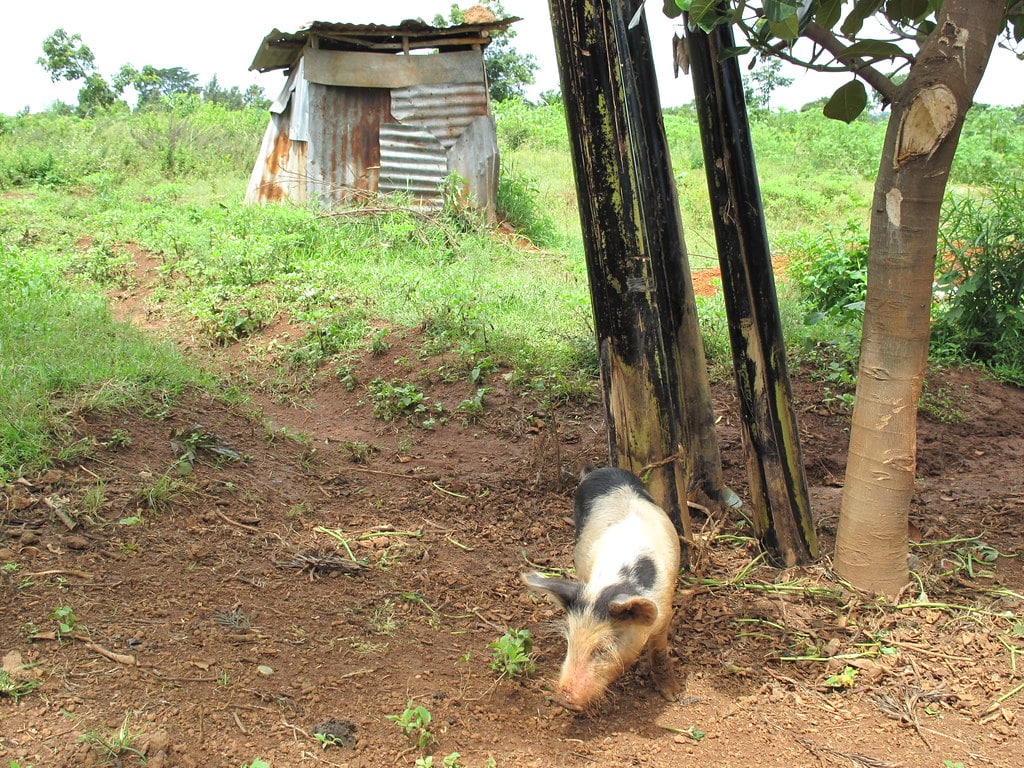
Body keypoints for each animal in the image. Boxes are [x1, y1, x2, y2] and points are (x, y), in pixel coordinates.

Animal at [524, 466, 684, 712]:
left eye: (603, 648)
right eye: (569, 642)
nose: (562, 699)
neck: (615, 582)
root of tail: (602, 469)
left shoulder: (665, 610)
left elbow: (659, 651)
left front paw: (672, 695)